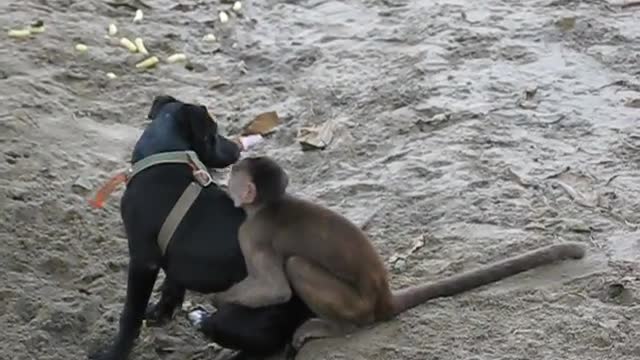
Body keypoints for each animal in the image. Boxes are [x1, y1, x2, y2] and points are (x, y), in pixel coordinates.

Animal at [89, 95, 312, 360]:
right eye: (213, 133)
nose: (237, 148)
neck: (164, 156)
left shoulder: (144, 261)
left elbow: (130, 315)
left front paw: (115, 352)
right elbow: (172, 286)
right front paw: (160, 314)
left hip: (235, 315)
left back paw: (203, 321)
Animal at [212, 157, 588, 348]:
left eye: (234, 176)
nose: (226, 179)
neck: (268, 206)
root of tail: (383, 298)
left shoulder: (249, 234)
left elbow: (275, 290)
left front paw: (219, 300)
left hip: (357, 305)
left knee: (297, 266)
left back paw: (338, 327)